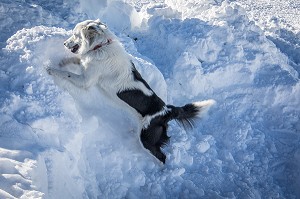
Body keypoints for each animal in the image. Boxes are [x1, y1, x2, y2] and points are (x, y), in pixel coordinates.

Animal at [46, 19, 216, 164]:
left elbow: (68, 73)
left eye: (75, 35)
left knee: (162, 157)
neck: (101, 46)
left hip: (147, 139)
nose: (64, 43)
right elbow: (76, 60)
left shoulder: (86, 81)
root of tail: (166, 110)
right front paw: (62, 61)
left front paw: (51, 69)